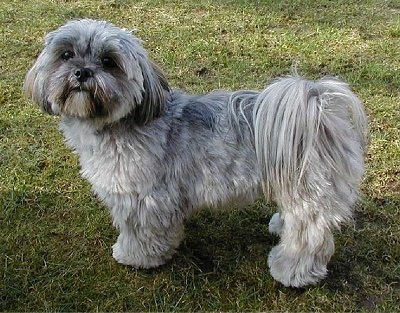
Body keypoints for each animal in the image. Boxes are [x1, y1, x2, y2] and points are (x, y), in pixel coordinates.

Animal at [25, 19, 368, 286]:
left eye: (109, 61)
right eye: (66, 55)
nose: (82, 72)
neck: (122, 124)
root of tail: (318, 108)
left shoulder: (144, 198)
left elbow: (141, 233)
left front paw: (135, 257)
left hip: (308, 189)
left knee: (310, 235)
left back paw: (292, 272)